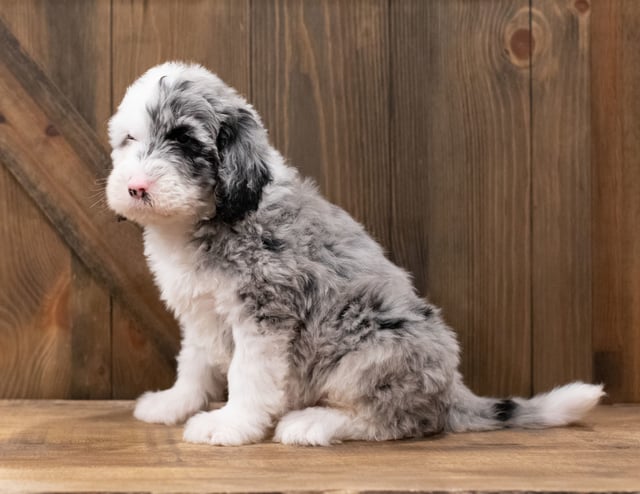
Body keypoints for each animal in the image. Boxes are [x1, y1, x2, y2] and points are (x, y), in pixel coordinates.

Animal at [106, 62, 604, 448]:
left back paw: (312, 423)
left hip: (369, 353)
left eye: (186, 142)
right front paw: (173, 403)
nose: (136, 187)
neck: (209, 218)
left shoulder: (265, 316)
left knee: (396, 421)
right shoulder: (200, 313)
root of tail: (453, 392)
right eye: (129, 140)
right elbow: (193, 364)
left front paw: (229, 425)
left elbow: (248, 377)